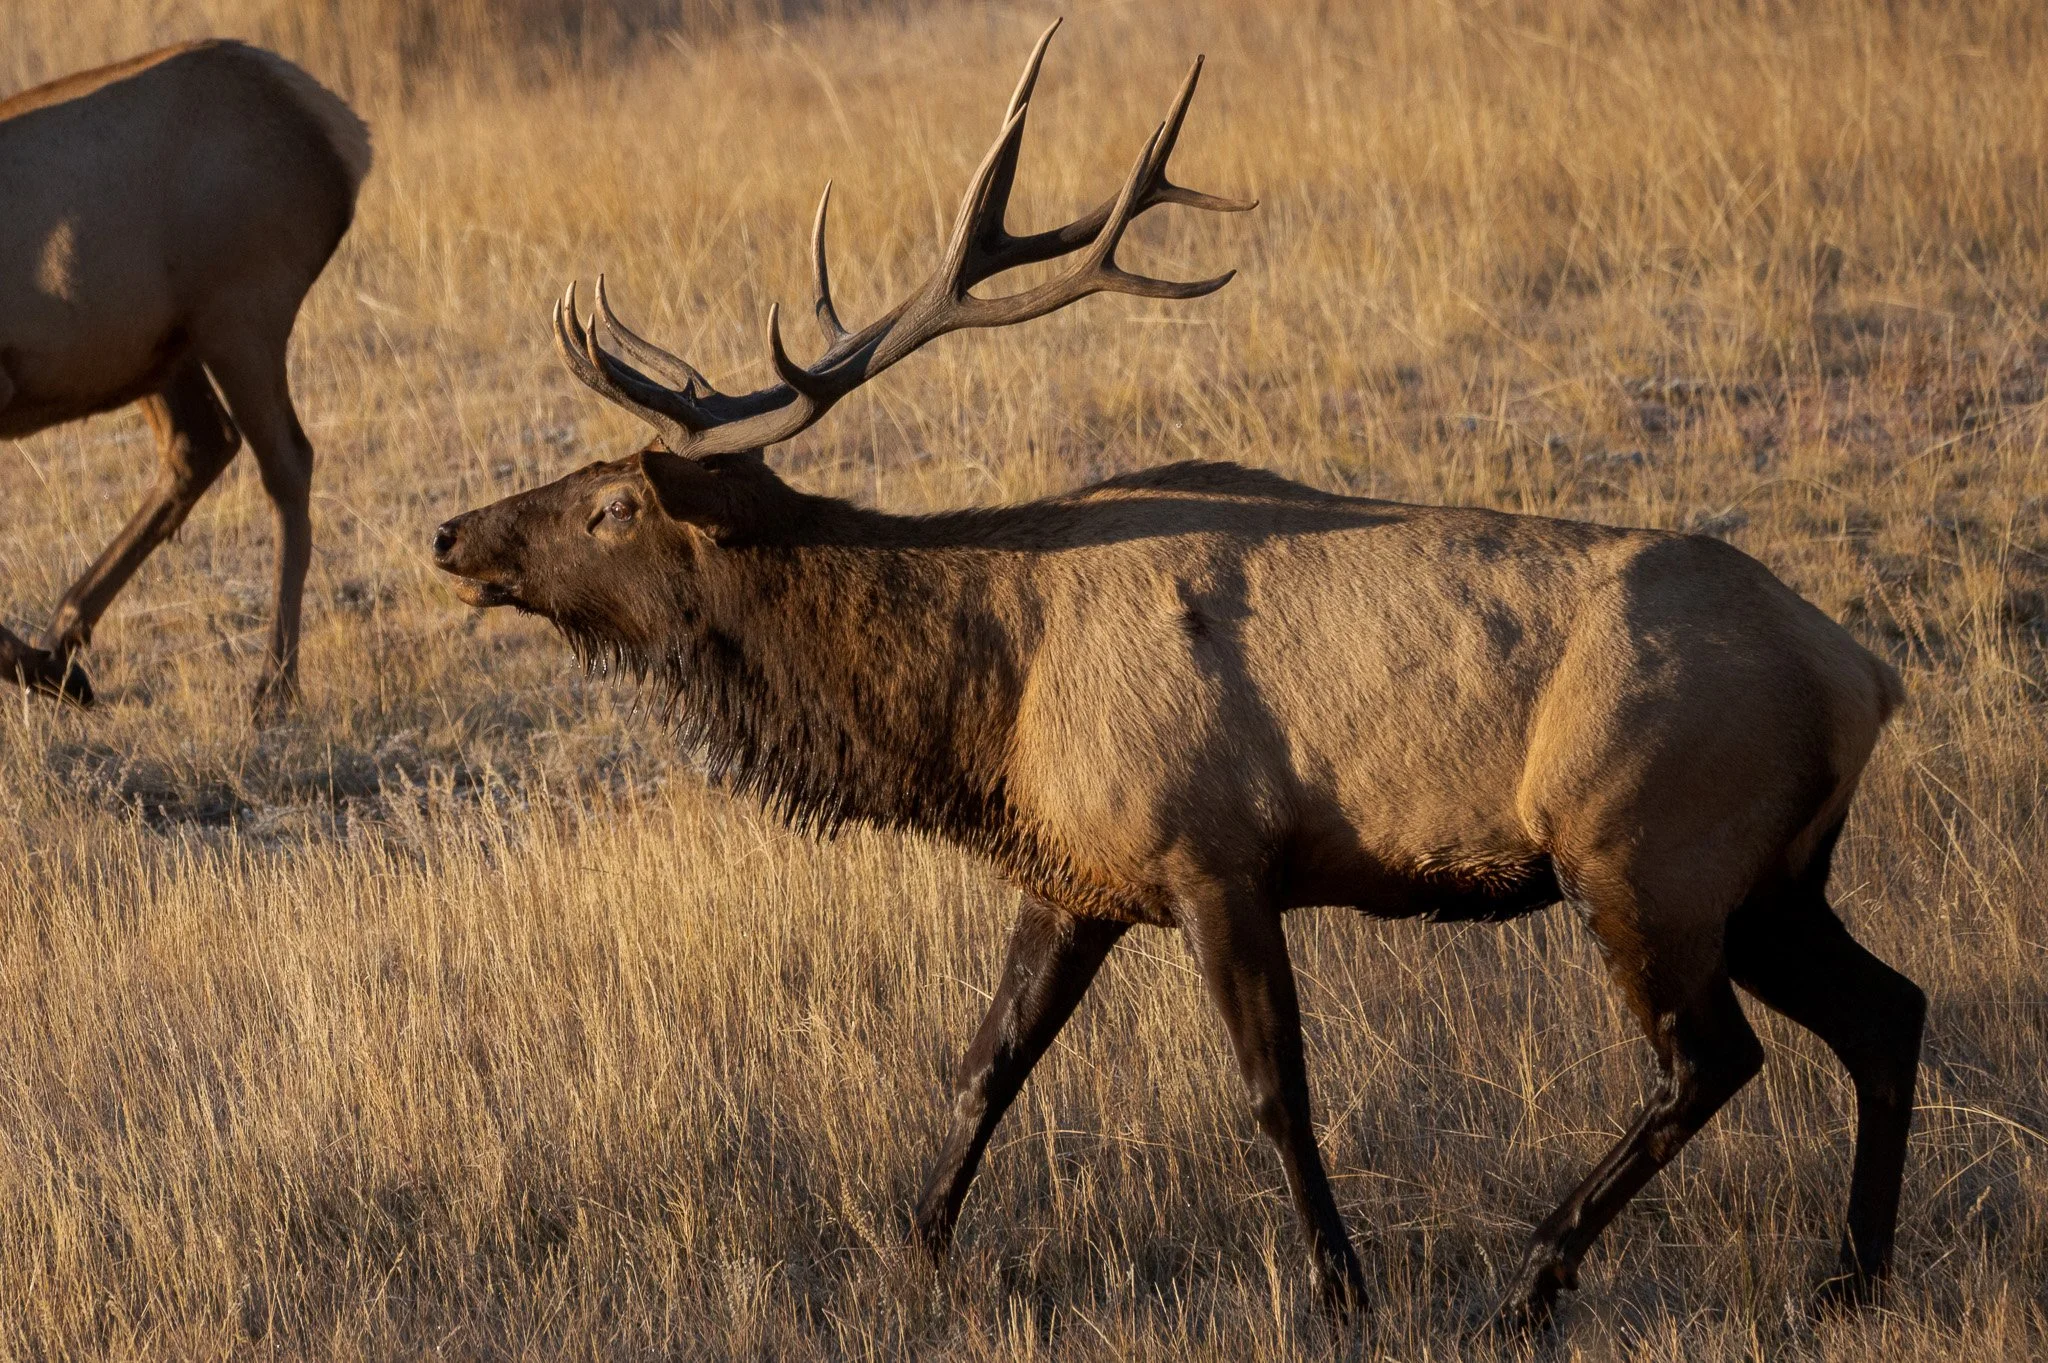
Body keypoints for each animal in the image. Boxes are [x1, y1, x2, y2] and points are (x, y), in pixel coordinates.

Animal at [0, 40, 371, 709]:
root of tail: (346, 136)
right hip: (158, 350)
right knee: (200, 445)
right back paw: (64, 638)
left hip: (239, 319)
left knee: (285, 464)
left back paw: (273, 682)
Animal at [431, 23, 1925, 1332]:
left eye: (611, 505)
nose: (450, 532)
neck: (992, 703)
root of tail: (1863, 670)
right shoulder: (1074, 874)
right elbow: (983, 1067)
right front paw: (908, 1253)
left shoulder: (1214, 851)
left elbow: (1275, 1090)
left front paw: (1342, 1286)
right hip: (1768, 876)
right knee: (1886, 1010)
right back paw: (1848, 1275)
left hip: (1640, 844)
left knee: (1712, 1055)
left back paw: (1534, 1277)